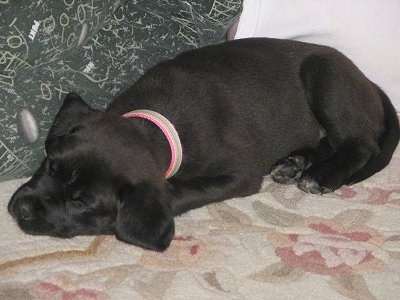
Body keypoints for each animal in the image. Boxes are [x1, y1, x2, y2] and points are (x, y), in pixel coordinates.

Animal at [7, 38, 398, 252]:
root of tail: (369, 81)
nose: (18, 209)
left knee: (360, 143)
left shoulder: (240, 174)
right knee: (327, 141)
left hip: (324, 77)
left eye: (80, 202)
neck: (156, 125)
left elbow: (179, 192)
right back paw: (296, 162)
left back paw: (321, 175)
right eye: (50, 165)